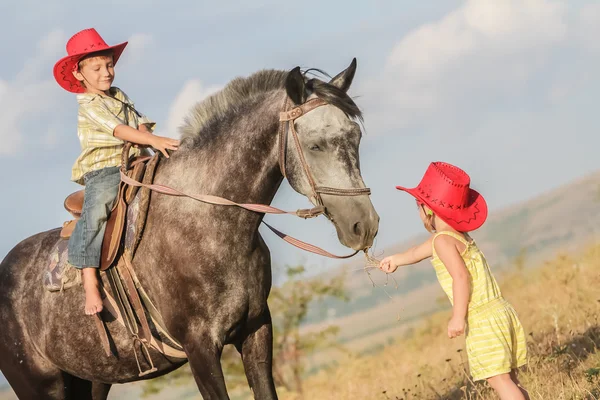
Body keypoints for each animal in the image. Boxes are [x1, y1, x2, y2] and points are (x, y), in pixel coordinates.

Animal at [0, 59, 376, 400]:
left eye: (356, 136)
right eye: (315, 145)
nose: (365, 225)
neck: (206, 222)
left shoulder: (257, 329)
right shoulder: (200, 348)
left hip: (92, 380)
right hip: (42, 387)